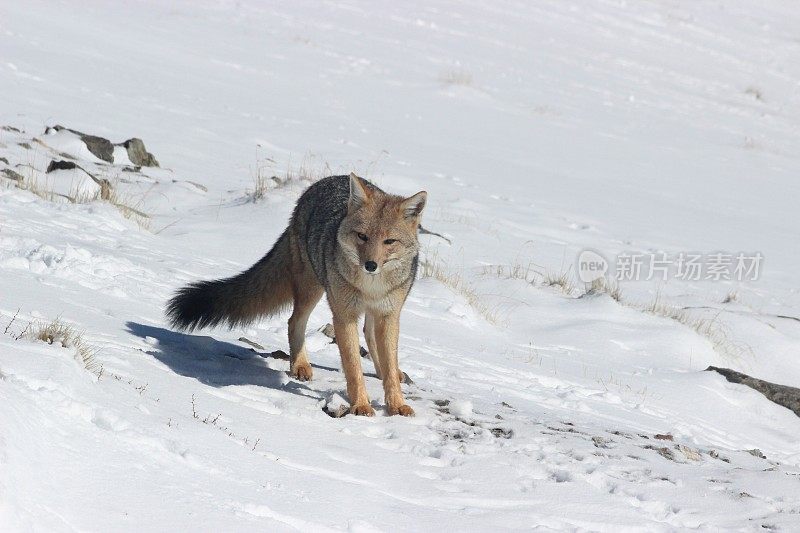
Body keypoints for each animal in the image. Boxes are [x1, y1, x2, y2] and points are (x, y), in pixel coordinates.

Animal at [166, 174, 428, 416]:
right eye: (362, 236)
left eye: (389, 241)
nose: (370, 265)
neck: (371, 287)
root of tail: (324, 182)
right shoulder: (344, 316)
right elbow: (353, 368)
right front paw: (361, 405)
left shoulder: (389, 315)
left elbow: (388, 363)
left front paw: (397, 404)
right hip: (311, 290)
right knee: (294, 322)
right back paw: (300, 365)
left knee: (370, 337)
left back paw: (385, 371)